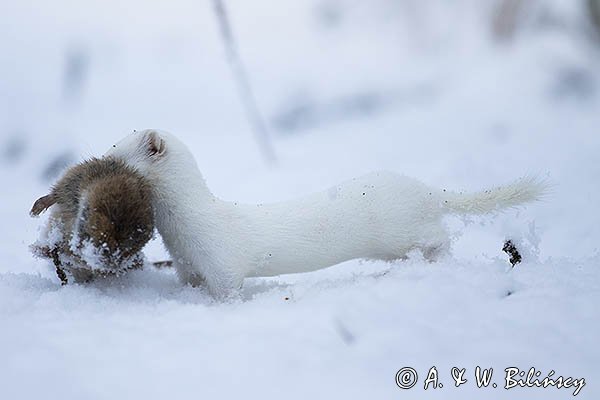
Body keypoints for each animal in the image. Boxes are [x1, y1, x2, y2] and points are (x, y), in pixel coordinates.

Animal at [105, 130, 548, 298]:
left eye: (116, 152)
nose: (101, 154)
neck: (181, 233)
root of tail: (423, 189)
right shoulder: (184, 263)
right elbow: (189, 283)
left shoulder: (221, 261)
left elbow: (228, 287)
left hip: (400, 230)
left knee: (439, 237)